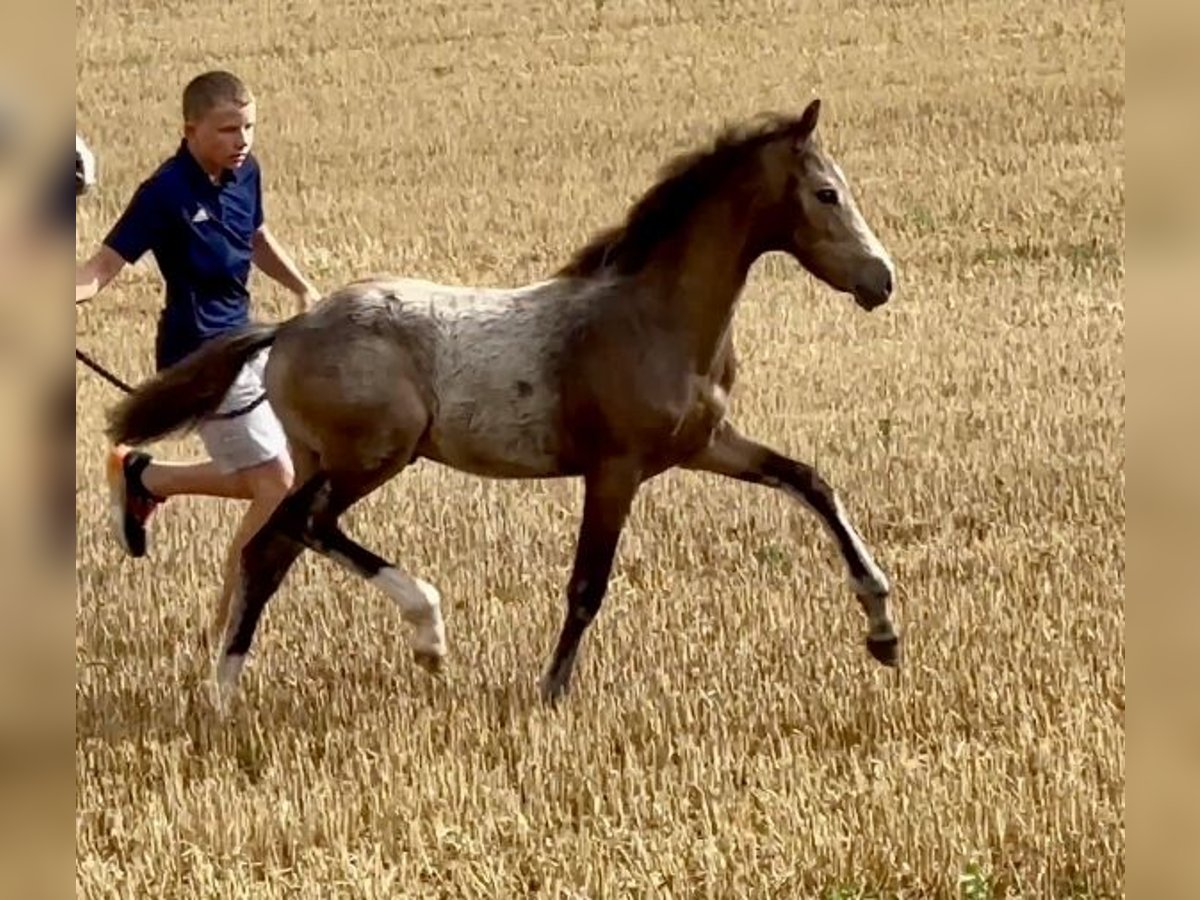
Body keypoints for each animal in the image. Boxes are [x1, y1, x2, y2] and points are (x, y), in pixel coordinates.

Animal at [105, 97, 902, 705]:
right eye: (828, 194)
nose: (882, 279)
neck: (654, 319)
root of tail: (291, 328)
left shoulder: (705, 445)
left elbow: (810, 481)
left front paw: (883, 629)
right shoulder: (615, 470)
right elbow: (587, 584)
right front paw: (551, 692)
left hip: (322, 459)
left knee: (272, 548)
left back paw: (227, 690)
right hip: (373, 455)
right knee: (297, 530)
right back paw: (422, 634)